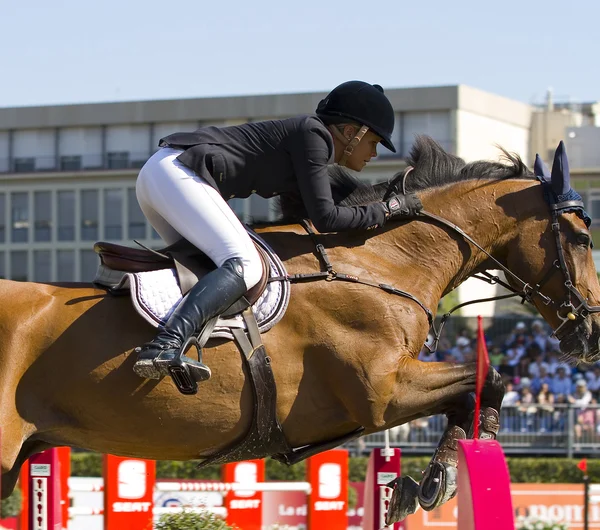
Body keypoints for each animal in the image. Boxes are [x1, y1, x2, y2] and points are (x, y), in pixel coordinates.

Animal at [1, 136, 600, 520]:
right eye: (582, 237)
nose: (592, 335)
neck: (382, 262)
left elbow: (479, 385)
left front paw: (427, 481)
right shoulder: (382, 392)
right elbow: (488, 377)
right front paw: (441, 479)